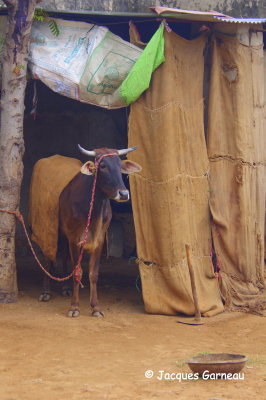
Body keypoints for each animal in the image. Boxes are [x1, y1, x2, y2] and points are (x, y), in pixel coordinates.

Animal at [33, 145, 141, 318]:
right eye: (102, 166)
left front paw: (95, 307)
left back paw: (65, 288)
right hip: (50, 229)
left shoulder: (98, 241)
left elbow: (93, 273)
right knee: (48, 257)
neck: (93, 209)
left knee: (64, 256)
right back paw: (46, 291)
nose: (124, 194)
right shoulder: (75, 239)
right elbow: (77, 272)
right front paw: (74, 307)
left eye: (120, 166)